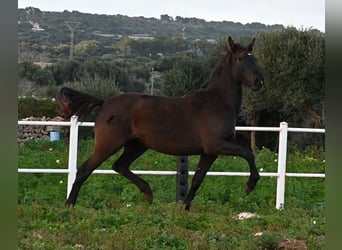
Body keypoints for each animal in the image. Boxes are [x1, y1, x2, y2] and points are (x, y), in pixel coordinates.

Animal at [56, 36, 264, 210]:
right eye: (240, 58)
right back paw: (69, 206)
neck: (217, 102)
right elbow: (248, 154)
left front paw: (185, 208)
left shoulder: (209, 152)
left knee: (119, 166)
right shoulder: (217, 145)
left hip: (137, 145)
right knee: (84, 170)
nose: (259, 81)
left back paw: (148, 193)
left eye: (255, 58)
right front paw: (250, 185)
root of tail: (105, 102)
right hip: (108, 145)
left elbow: (197, 179)